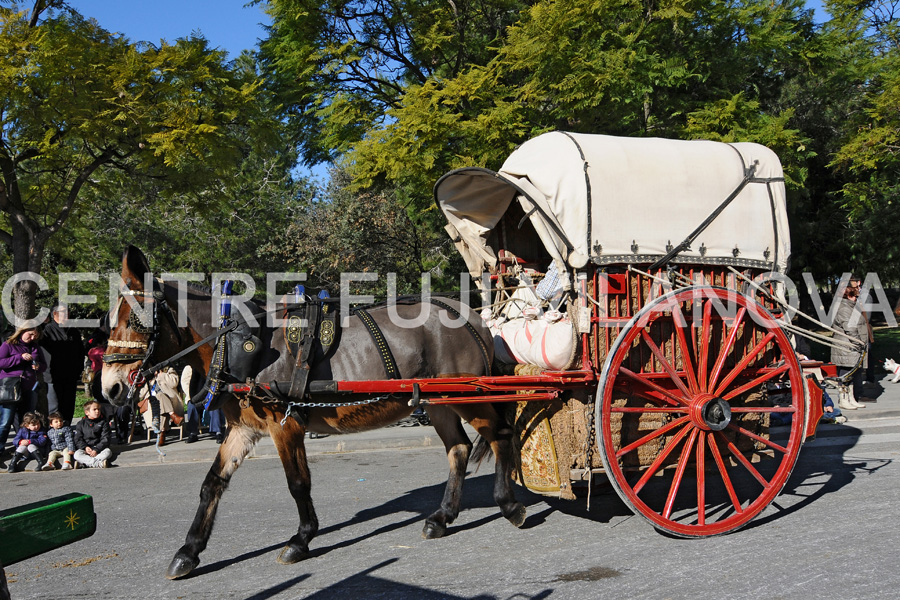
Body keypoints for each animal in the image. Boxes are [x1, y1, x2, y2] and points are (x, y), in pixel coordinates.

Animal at [101, 246, 524, 580]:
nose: (109, 388)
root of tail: (473, 317)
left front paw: (301, 539)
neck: (235, 343)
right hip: (437, 403)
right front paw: (189, 551)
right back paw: (442, 517)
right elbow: (212, 484)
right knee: (459, 449)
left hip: (467, 396)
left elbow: (297, 483)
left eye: (136, 319)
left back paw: (508, 503)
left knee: (500, 436)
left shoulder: (284, 424)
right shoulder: (243, 429)